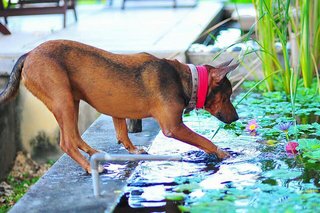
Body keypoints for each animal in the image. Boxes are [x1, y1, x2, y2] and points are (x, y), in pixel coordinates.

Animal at [0, 39, 239, 173]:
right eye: (227, 96)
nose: (236, 118)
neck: (188, 79)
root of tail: (28, 54)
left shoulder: (117, 112)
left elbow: (123, 134)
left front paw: (133, 150)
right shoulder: (173, 127)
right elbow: (204, 140)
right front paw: (222, 153)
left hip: (71, 101)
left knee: (75, 136)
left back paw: (93, 153)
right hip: (62, 100)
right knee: (66, 142)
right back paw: (89, 168)